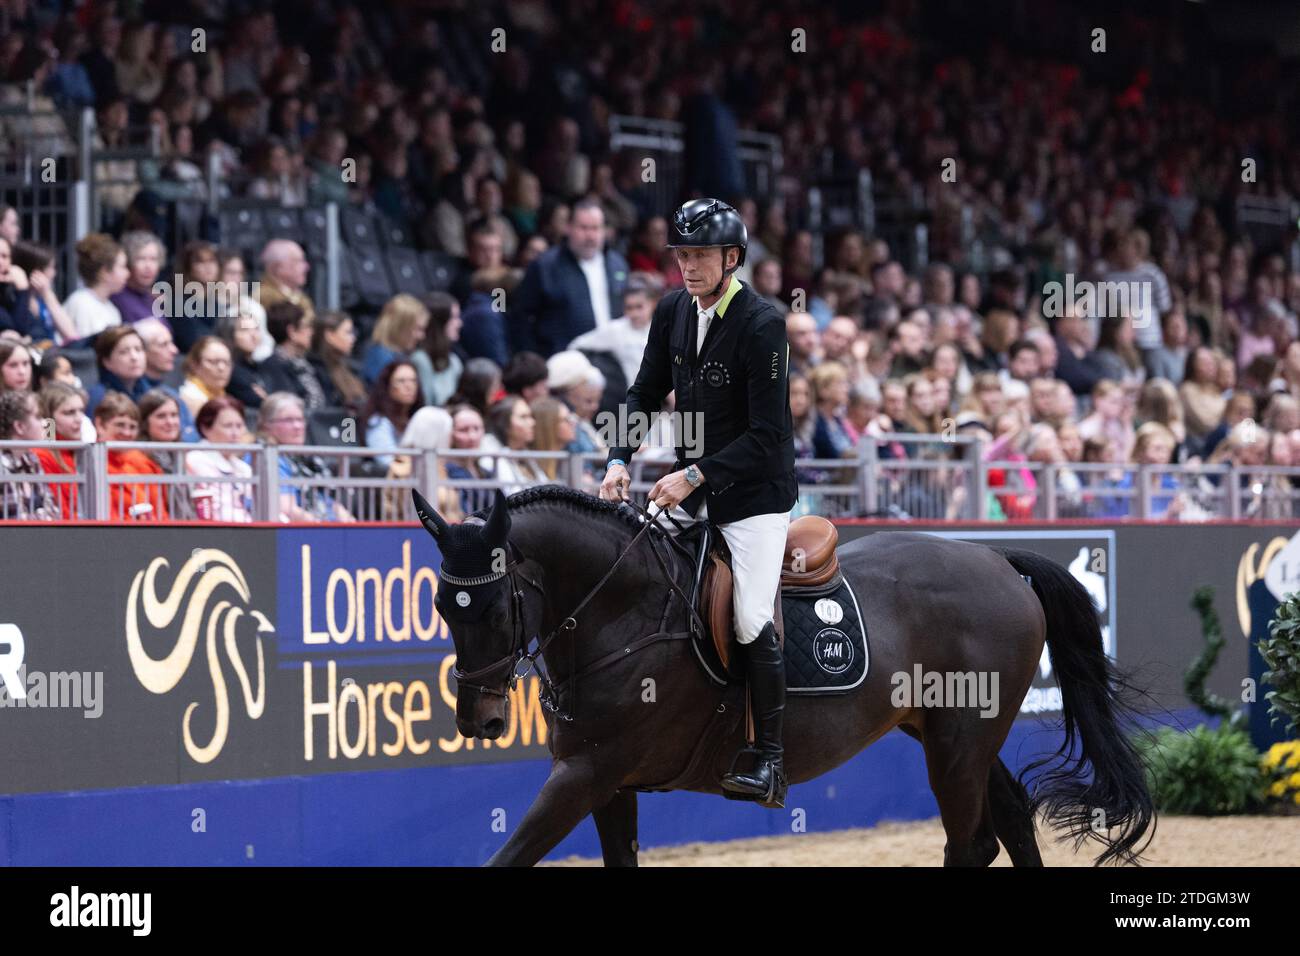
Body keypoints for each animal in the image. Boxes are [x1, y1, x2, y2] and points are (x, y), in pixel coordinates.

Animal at [410, 486, 1154, 868]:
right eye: (444, 605)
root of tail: (999, 561)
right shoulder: (608, 783)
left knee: (971, 843)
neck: (625, 611)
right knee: (1012, 822)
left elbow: (507, 860)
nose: (480, 721)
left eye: (495, 607)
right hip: (950, 733)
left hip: (959, 743)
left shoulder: (587, 773)